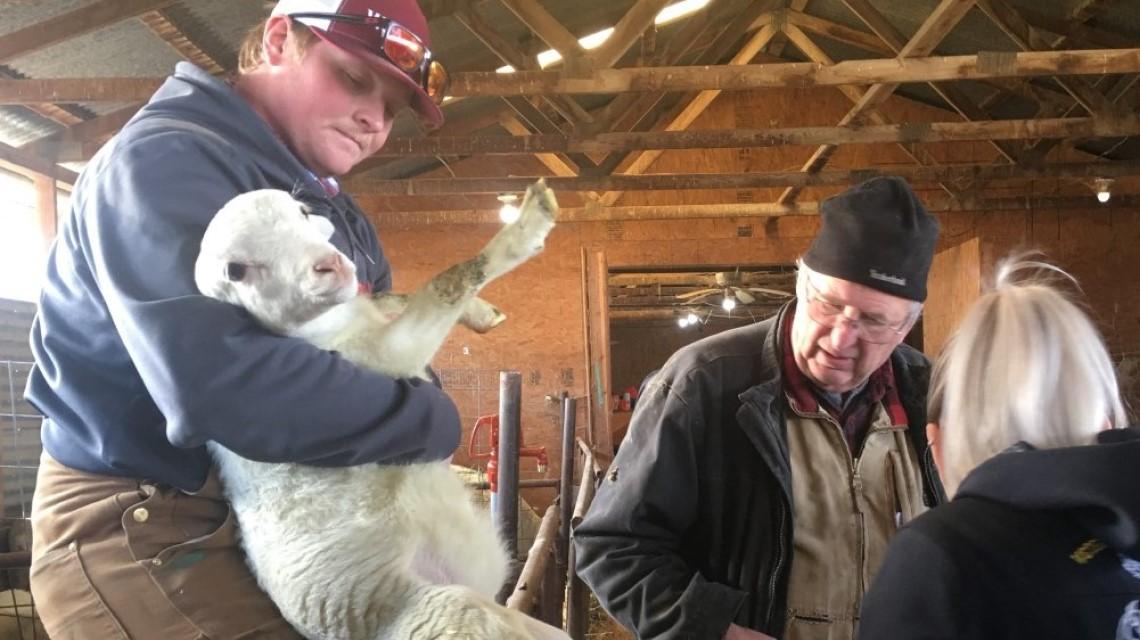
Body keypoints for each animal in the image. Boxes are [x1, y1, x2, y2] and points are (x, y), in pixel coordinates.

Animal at [198, 181, 570, 638]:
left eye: (302, 211)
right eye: (236, 270)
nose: (328, 266)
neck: (326, 330)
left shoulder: (374, 324)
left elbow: (395, 295)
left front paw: (483, 313)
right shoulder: (378, 360)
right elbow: (446, 281)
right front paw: (532, 220)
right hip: (453, 613)